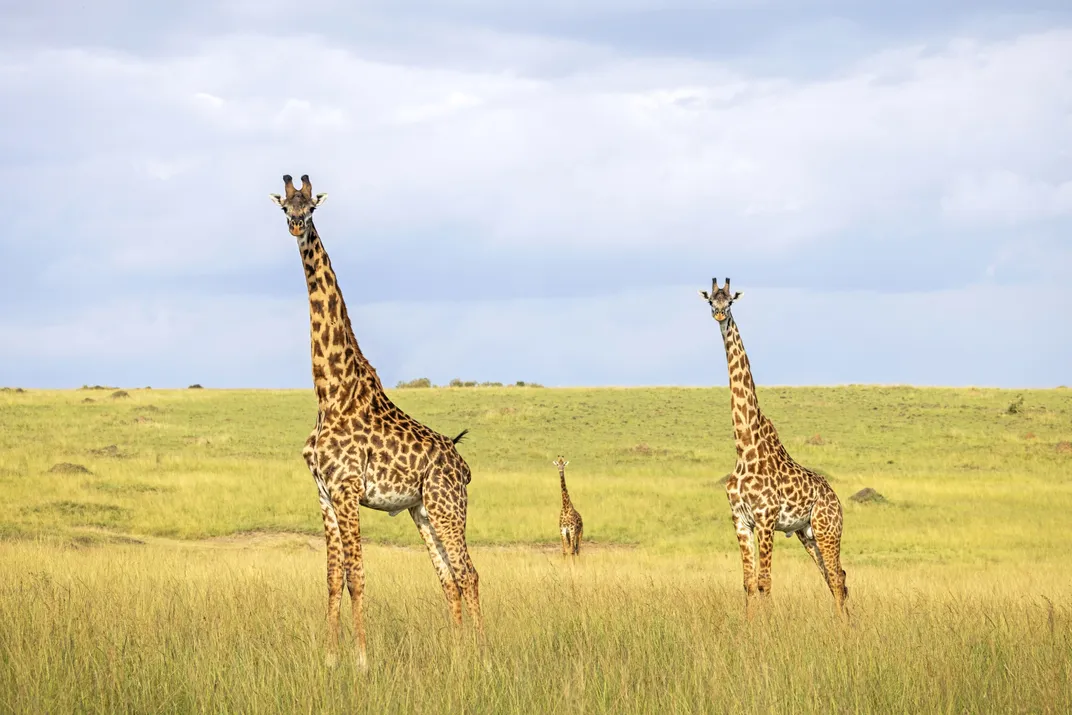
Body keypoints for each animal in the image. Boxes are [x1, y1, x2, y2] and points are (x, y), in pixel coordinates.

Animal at [270, 174, 483, 669]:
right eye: (284, 206)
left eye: (311, 207)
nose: (296, 226)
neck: (330, 393)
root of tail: (462, 466)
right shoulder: (324, 493)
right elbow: (332, 577)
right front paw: (331, 659)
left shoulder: (347, 488)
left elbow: (356, 575)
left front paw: (363, 661)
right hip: (423, 510)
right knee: (448, 578)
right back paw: (458, 657)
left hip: (448, 506)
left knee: (470, 573)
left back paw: (483, 658)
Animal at [698, 277, 848, 620]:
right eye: (711, 299)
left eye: (731, 301)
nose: (719, 314)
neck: (745, 446)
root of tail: (836, 499)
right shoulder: (740, 520)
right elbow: (748, 582)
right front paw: (749, 626)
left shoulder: (766, 519)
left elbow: (765, 581)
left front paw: (767, 628)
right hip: (808, 533)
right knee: (834, 576)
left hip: (827, 528)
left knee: (836, 576)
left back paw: (844, 628)